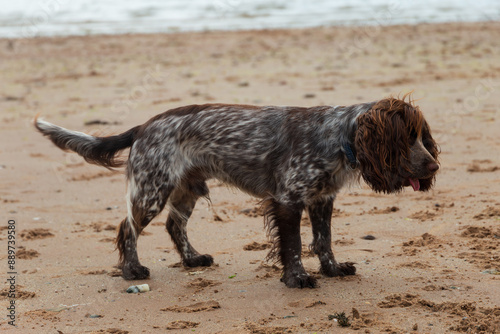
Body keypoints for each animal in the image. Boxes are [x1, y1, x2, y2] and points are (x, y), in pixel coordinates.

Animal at [34, 95, 438, 288]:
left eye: (422, 136)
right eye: (407, 138)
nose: (434, 166)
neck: (338, 136)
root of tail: (143, 126)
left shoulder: (322, 200)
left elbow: (323, 242)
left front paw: (333, 270)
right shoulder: (289, 200)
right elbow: (293, 246)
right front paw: (297, 279)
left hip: (187, 189)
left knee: (174, 226)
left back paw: (192, 260)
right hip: (152, 189)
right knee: (127, 228)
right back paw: (132, 270)